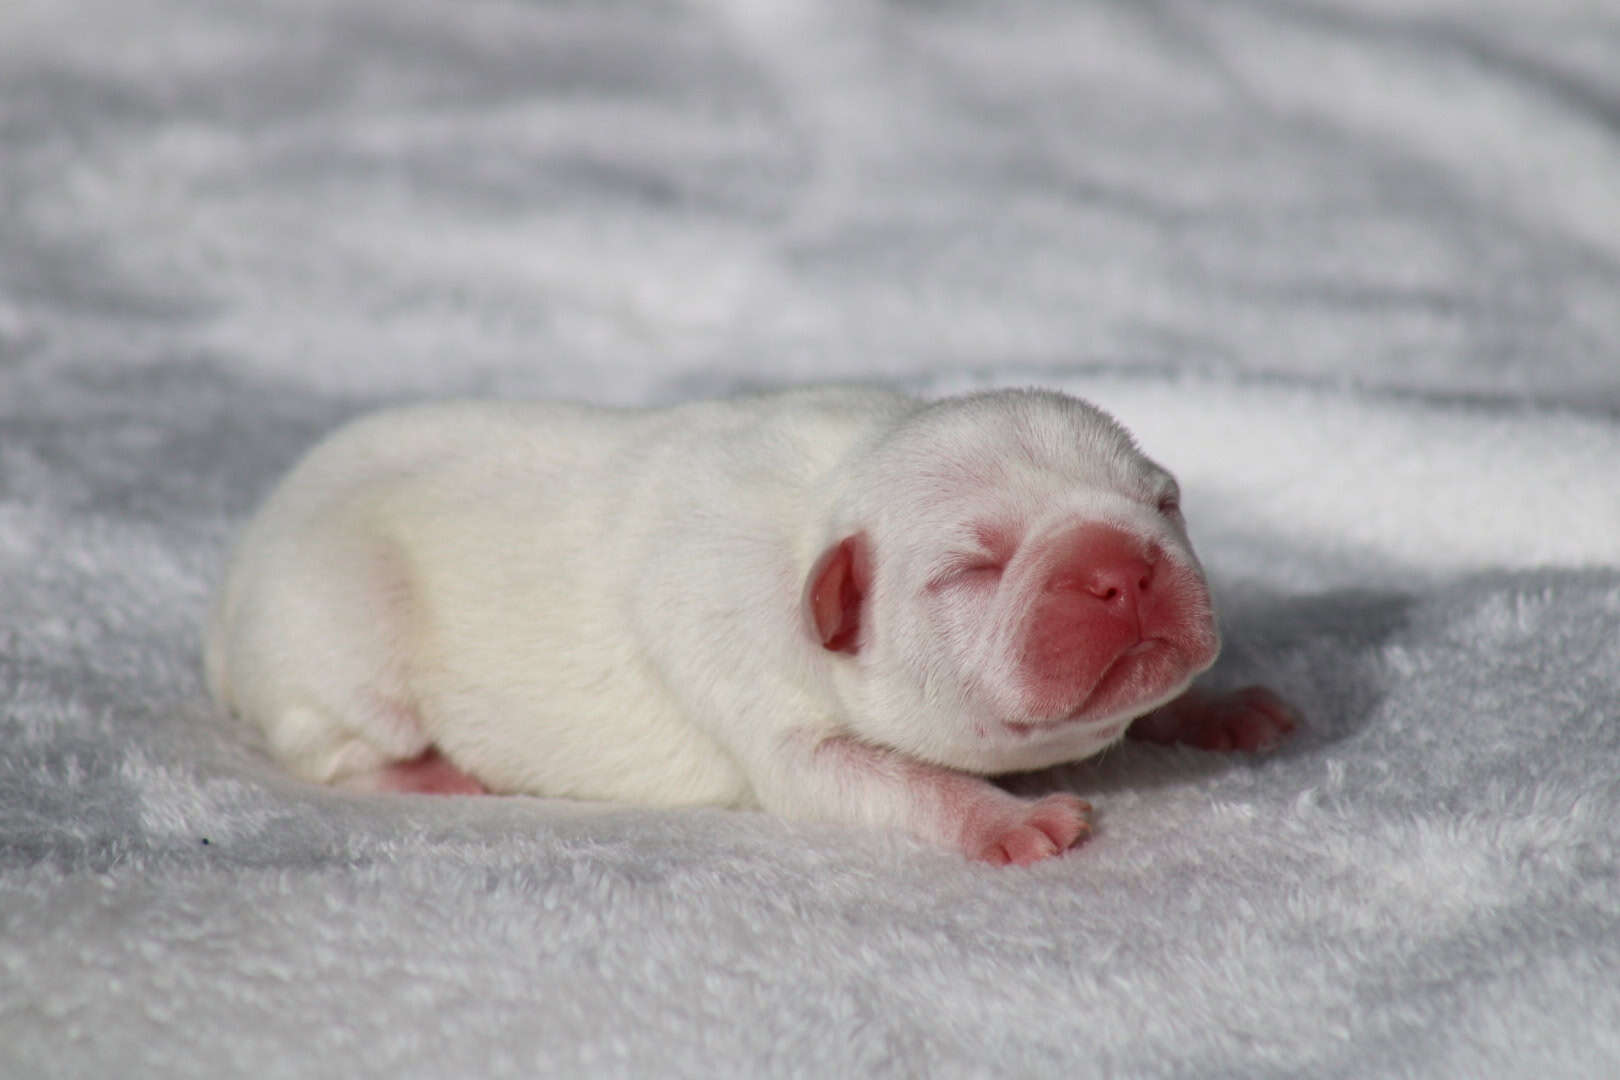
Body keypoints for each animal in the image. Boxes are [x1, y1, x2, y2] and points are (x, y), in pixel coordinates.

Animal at [205, 386, 1289, 861]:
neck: (826, 505)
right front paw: (1012, 820)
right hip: (337, 628)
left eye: (1164, 503)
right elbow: (882, 781)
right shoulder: (740, 662)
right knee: (333, 745)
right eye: (974, 565)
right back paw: (435, 774)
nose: (1122, 573)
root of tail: (233, 582)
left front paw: (1222, 711)